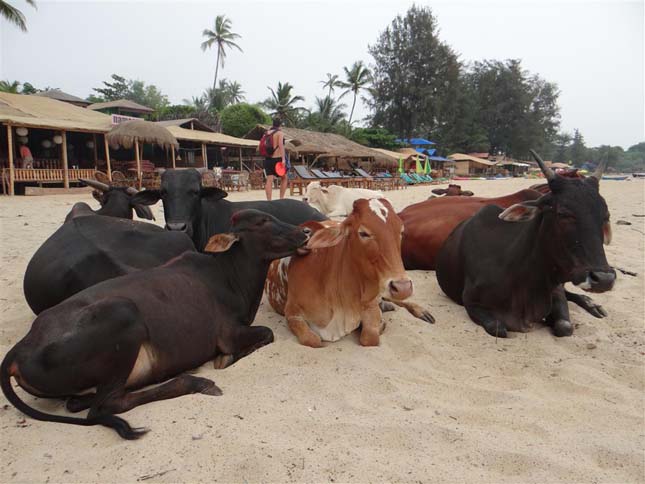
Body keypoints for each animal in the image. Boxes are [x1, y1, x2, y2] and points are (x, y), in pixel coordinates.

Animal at [264, 198, 436, 348]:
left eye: (401, 231)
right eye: (363, 233)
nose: (403, 287)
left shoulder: (370, 305)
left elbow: (370, 337)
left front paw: (380, 325)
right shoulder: (292, 314)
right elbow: (313, 340)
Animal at [438, 149, 612, 338]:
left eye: (605, 216)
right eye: (562, 213)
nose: (604, 279)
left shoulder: (555, 291)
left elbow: (565, 326)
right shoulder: (471, 301)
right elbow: (499, 328)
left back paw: (592, 304)